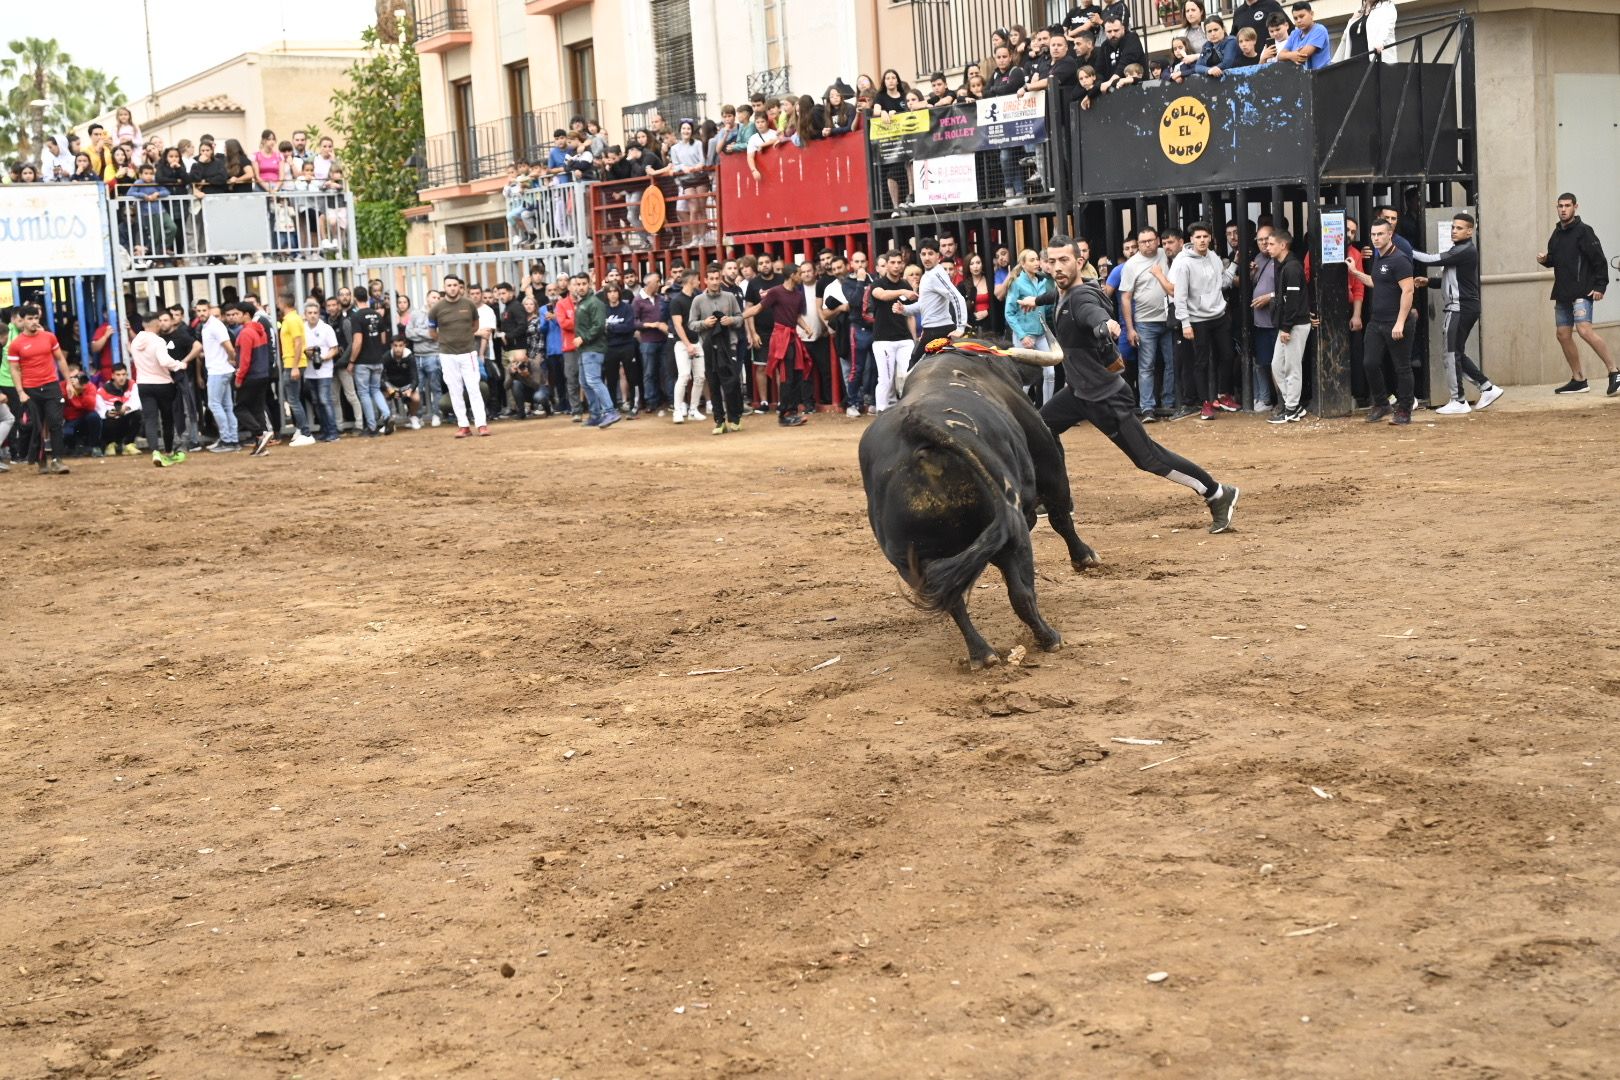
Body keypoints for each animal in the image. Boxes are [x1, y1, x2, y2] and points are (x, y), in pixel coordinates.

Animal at [861, 346, 1101, 667]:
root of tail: (918, 428)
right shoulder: (1050, 466)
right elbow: (1060, 516)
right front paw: (1085, 557)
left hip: (909, 562)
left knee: (953, 603)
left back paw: (982, 654)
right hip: (1014, 534)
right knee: (1022, 593)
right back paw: (1049, 638)